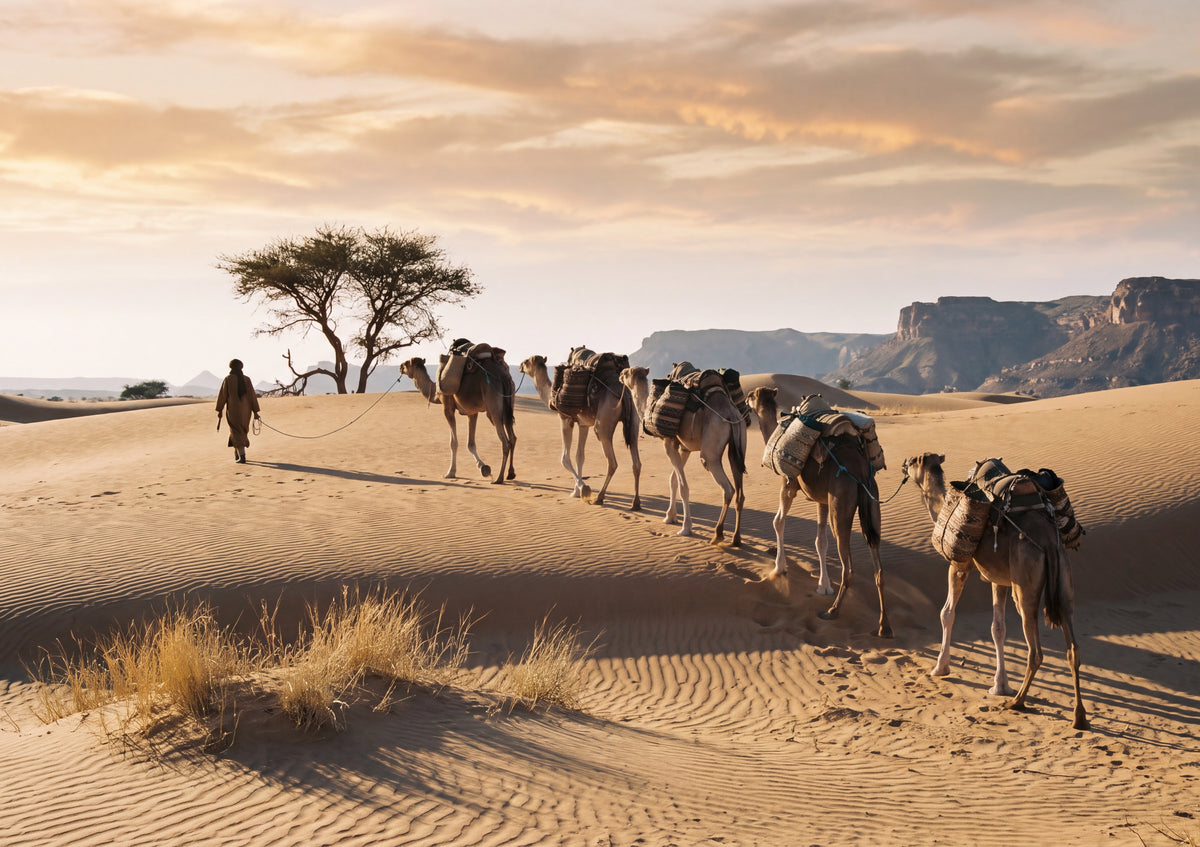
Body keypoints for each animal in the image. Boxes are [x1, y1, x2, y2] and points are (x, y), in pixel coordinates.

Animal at [399, 353, 516, 484]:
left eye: (407, 363)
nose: (400, 367)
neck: (435, 391)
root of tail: (504, 376)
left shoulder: (447, 407)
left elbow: (453, 442)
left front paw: (450, 473)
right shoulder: (472, 411)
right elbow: (470, 443)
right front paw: (484, 468)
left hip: (494, 407)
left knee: (505, 441)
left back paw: (499, 478)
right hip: (508, 405)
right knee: (513, 438)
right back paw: (510, 474)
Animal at [519, 353, 642, 510]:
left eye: (526, 361)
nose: (520, 366)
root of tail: (624, 392)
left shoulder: (565, 419)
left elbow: (565, 458)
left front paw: (582, 489)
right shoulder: (584, 425)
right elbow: (580, 456)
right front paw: (576, 491)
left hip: (603, 423)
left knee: (612, 462)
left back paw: (599, 497)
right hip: (633, 421)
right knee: (636, 462)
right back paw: (636, 503)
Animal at [620, 366, 746, 546]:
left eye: (627, 373)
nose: (620, 373)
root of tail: (731, 414)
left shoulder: (668, 443)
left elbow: (683, 486)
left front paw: (686, 528)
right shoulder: (684, 449)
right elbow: (673, 480)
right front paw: (669, 517)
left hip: (711, 453)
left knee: (727, 488)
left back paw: (718, 534)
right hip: (738, 444)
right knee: (740, 492)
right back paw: (736, 539)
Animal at [747, 386, 891, 638]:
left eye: (752, 396)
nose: (744, 399)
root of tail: (860, 471)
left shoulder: (788, 484)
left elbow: (778, 522)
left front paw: (779, 568)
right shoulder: (821, 500)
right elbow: (820, 540)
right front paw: (823, 585)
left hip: (840, 506)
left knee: (848, 567)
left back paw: (832, 611)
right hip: (872, 503)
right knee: (878, 565)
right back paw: (884, 626)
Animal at [901, 452, 1087, 730]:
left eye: (913, 461)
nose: (902, 464)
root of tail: (1048, 543)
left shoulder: (960, 565)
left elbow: (947, 613)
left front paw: (940, 668)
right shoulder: (998, 580)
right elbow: (998, 628)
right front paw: (1000, 685)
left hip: (1025, 588)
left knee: (1036, 651)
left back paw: (1018, 702)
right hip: (1064, 582)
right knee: (1073, 648)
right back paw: (1079, 717)